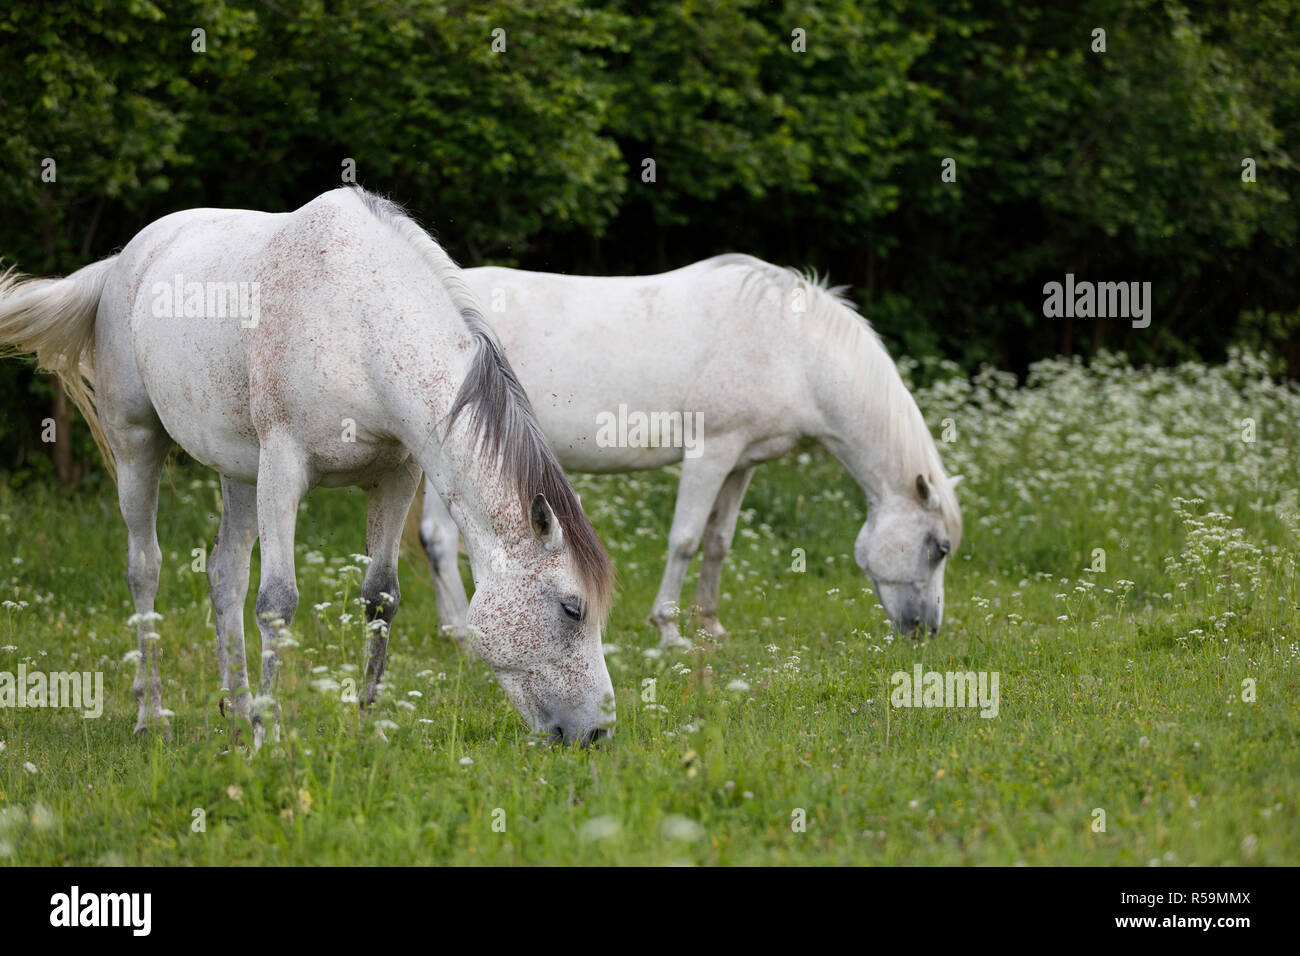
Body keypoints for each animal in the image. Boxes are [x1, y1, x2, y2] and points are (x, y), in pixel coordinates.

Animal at [0, 186, 615, 746]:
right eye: (572, 609)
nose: (597, 732)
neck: (357, 325)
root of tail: (123, 260)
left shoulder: (395, 478)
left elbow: (381, 596)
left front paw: (368, 726)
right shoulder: (283, 470)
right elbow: (277, 603)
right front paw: (269, 741)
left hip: (237, 470)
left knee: (224, 573)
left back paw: (238, 713)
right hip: (137, 445)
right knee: (144, 567)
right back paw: (154, 718)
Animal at [418, 254, 961, 648]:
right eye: (939, 547)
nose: (926, 630)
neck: (792, 349)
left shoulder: (742, 462)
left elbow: (718, 541)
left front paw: (711, 625)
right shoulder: (711, 453)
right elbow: (684, 538)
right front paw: (669, 630)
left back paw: (450, 631)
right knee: (441, 537)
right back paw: (464, 635)